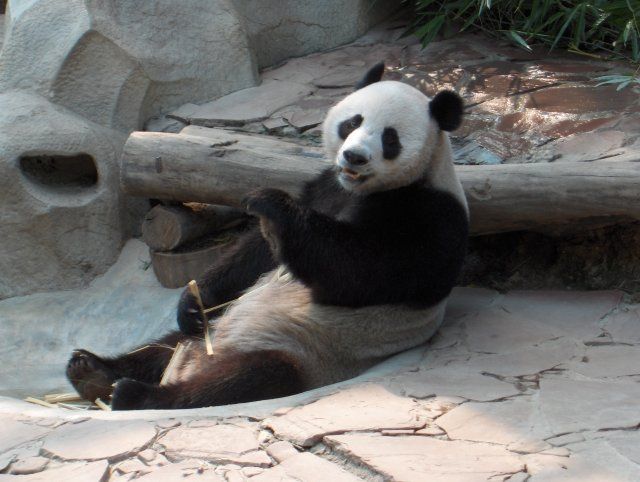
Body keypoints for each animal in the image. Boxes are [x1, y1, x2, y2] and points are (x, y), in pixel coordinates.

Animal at [66, 63, 470, 410]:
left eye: (390, 138)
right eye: (353, 122)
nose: (354, 157)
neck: (364, 189)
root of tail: (197, 361)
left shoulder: (430, 216)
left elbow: (359, 273)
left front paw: (271, 204)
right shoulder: (326, 186)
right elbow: (257, 254)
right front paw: (194, 298)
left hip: (305, 352)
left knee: (247, 378)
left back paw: (138, 394)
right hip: (213, 330)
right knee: (167, 345)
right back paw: (94, 371)